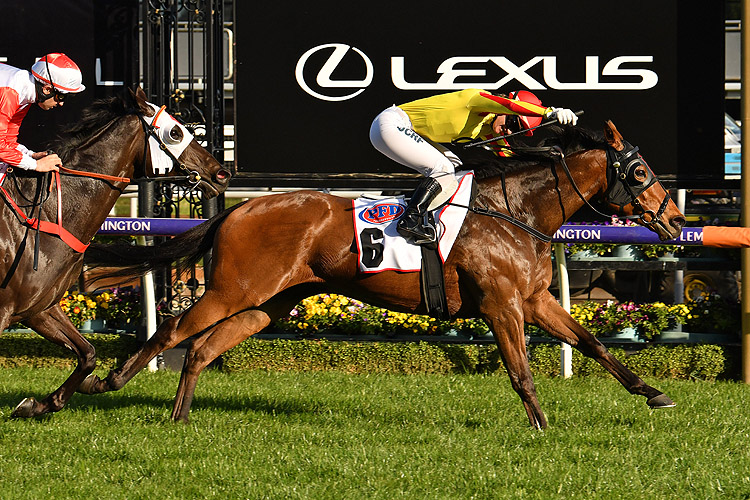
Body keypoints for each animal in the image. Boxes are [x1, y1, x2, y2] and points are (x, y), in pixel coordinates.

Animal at [7, 87, 231, 418]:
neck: (49, 213)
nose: (221, 174)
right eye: (176, 132)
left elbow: (88, 353)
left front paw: (38, 404)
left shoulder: (39, 307)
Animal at [81, 121, 688, 430]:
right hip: (234, 289)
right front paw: (541, 426)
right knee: (173, 330)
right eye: (639, 172)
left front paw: (654, 394)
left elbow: (593, 345)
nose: (678, 221)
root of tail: (237, 209)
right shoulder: (502, 305)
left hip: (266, 304)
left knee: (203, 349)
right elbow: (520, 371)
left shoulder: (535, 299)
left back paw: (179, 416)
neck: (514, 210)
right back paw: (104, 382)